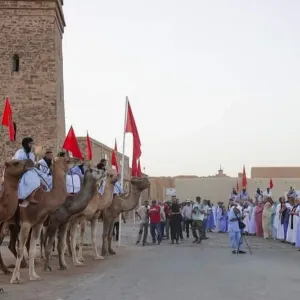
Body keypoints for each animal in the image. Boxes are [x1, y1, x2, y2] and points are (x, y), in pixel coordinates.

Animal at [9, 155, 77, 284]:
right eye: (66, 160)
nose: (79, 160)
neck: (43, 200)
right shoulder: (26, 223)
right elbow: (21, 249)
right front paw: (14, 278)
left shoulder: (38, 224)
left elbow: (31, 249)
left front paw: (33, 275)